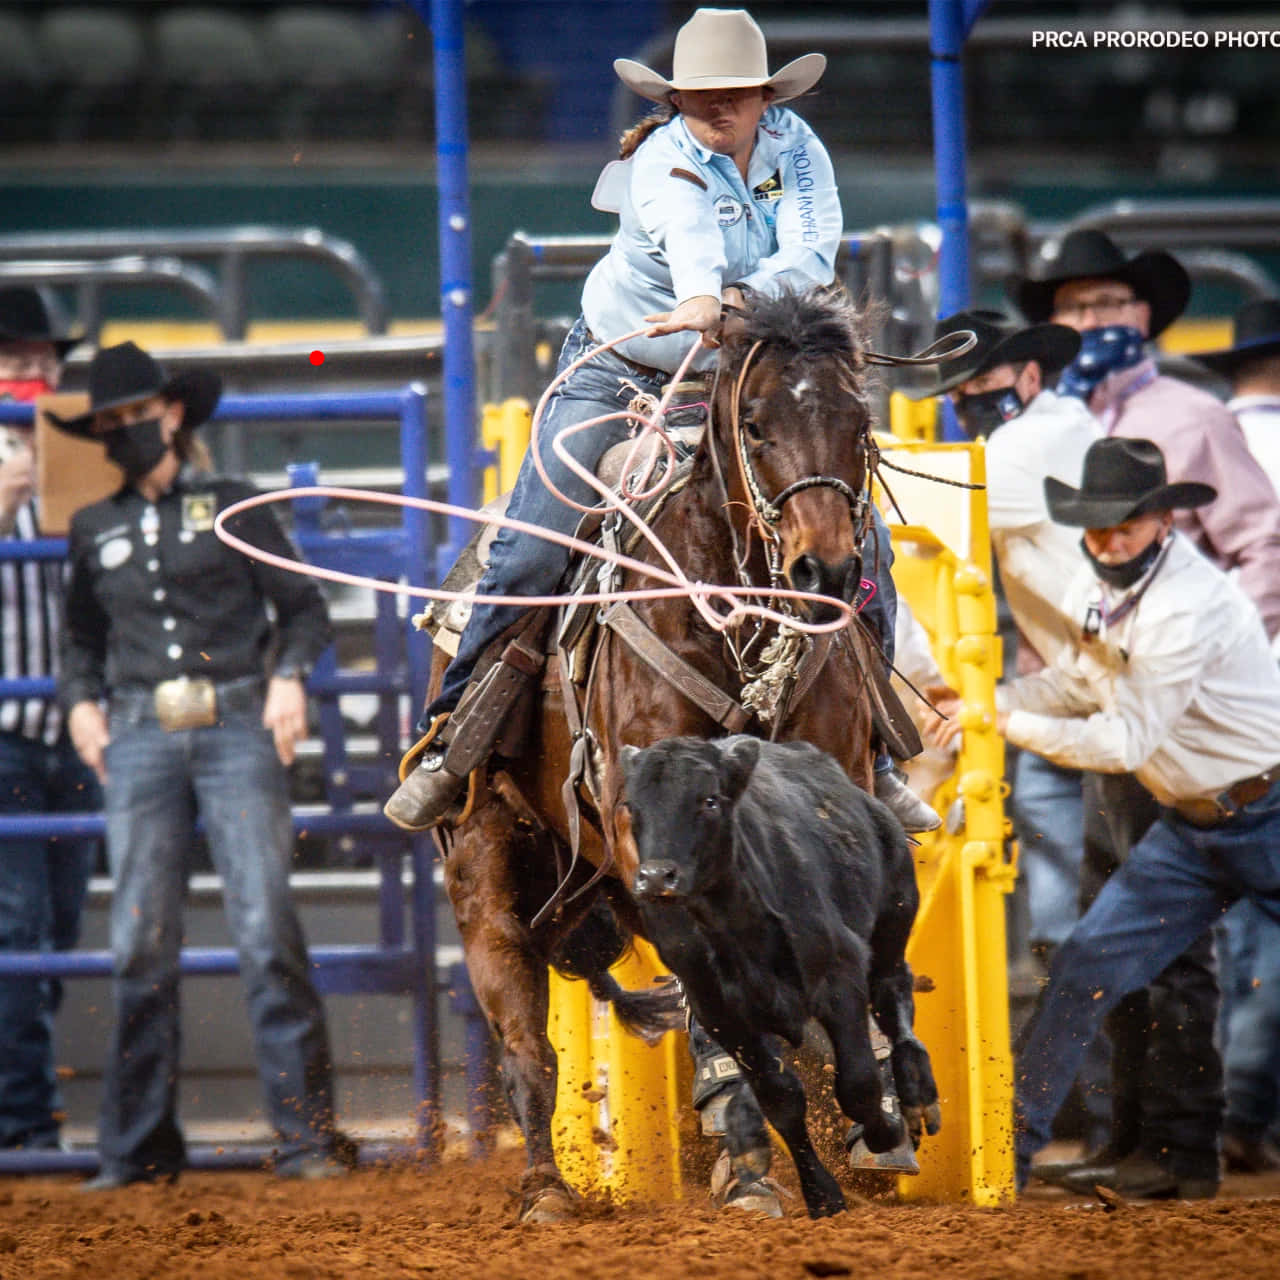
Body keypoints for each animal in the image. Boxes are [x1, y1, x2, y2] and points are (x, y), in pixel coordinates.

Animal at [435, 288, 906, 1218]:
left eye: (857, 420)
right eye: (755, 423)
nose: (824, 572)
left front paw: (871, 1120)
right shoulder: (641, 833)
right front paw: (748, 1150)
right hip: (487, 863)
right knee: (525, 1045)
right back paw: (545, 1188)